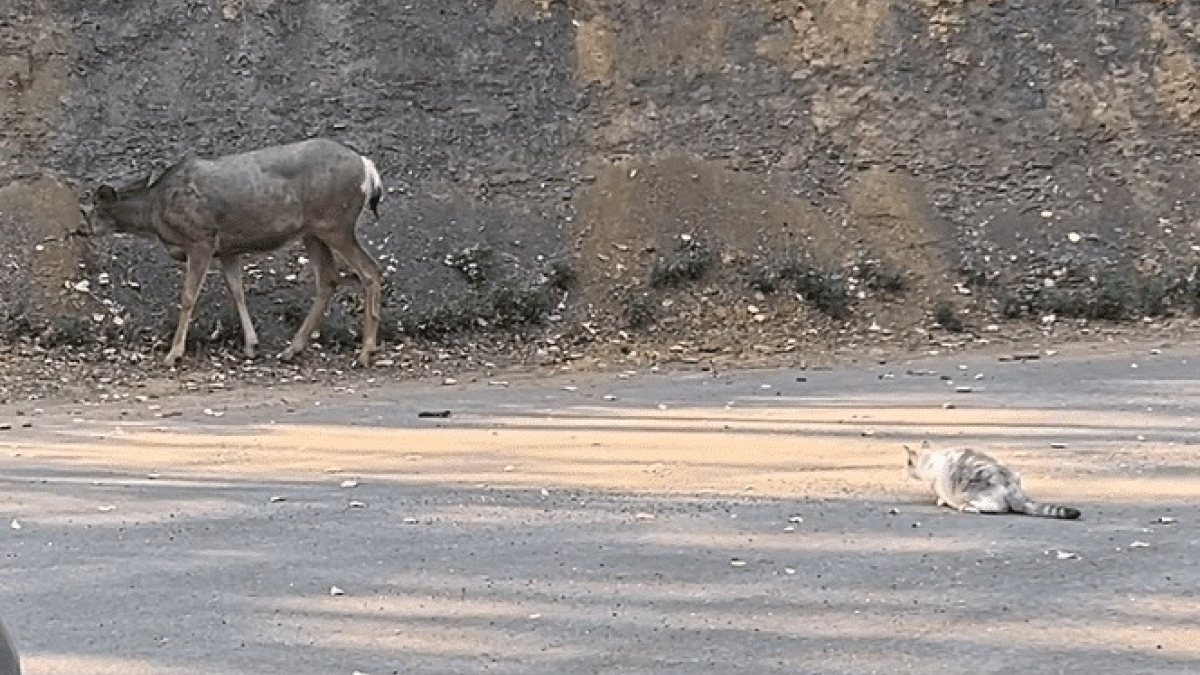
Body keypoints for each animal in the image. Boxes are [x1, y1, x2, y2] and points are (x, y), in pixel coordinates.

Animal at [85, 138, 384, 365]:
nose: (81, 230)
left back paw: (365, 352)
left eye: (91, 209)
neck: (156, 211)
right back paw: (291, 349)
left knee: (370, 270)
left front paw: (173, 354)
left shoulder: (201, 240)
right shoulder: (228, 248)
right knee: (328, 278)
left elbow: (189, 297)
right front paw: (251, 345)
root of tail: (368, 168)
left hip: (336, 223)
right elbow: (237, 290)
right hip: (313, 232)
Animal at [902, 439, 1084, 516]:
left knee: (999, 508)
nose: (907, 470)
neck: (930, 459)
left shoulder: (938, 484)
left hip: (976, 492)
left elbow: (939, 495)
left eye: (908, 462)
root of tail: (1014, 489)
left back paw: (967, 507)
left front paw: (940, 501)